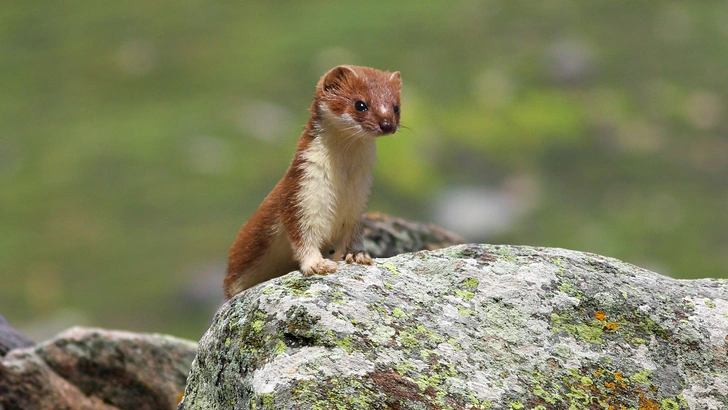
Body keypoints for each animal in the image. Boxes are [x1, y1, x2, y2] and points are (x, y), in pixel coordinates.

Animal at [223, 65, 400, 298]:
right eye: (360, 104)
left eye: (396, 107)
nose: (387, 124)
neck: (344, 181)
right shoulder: (301, 191)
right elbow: (303, 234)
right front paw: (318, 265)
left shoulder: (359, 199)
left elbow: (353, 233)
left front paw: (358, 255)